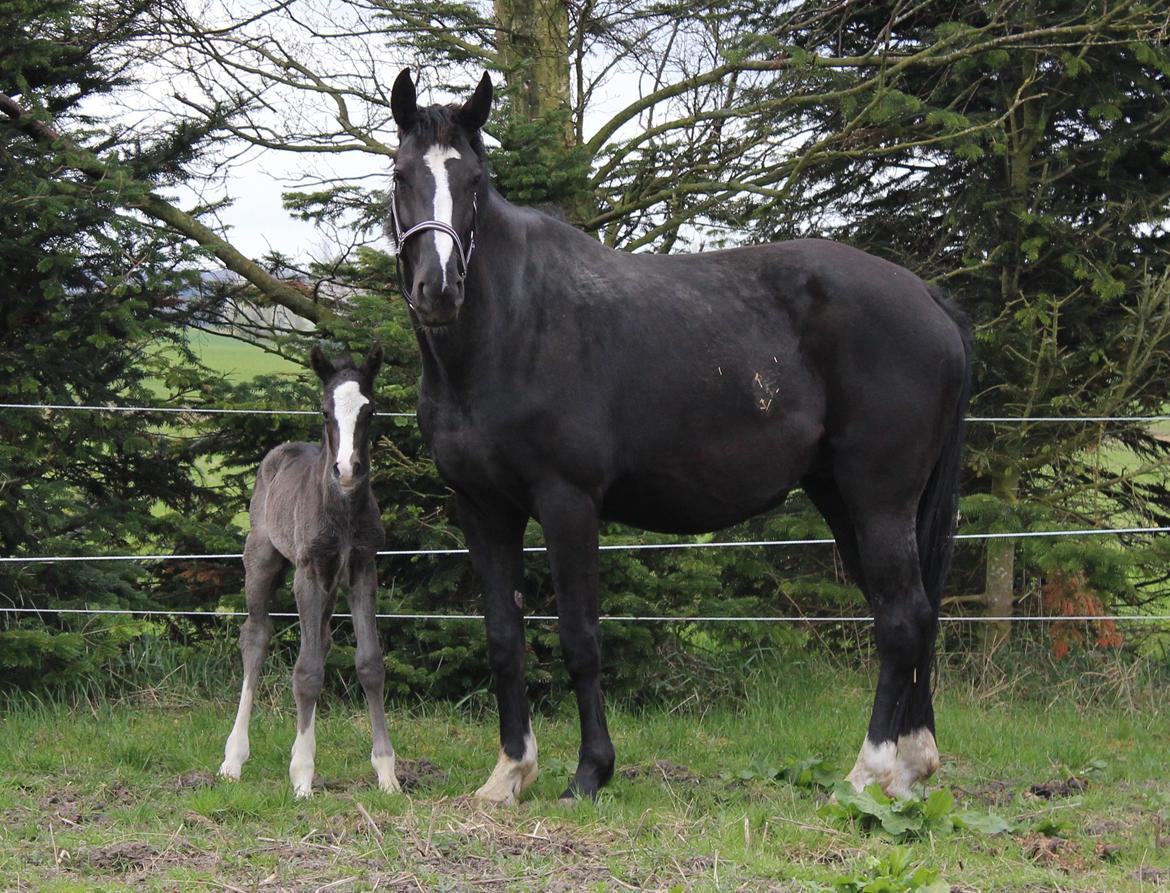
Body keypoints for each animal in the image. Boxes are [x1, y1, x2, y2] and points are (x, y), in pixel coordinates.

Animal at [214, 346, 388, 800]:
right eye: (325, 410)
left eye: (370, 410)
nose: (347, 469)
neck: (342, 510)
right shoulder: (307, 574)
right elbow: (306, 672)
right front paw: (303, 776)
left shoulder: (362, 570)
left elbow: (370, 663)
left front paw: (388, 773)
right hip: (263, 558)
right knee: (256, 636)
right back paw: (233, 759)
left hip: (329, 584)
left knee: (321, 640)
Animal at [388, 69, 973, 805]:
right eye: (401, 174)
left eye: (473, 181)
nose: (437, 289)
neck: (512, 325)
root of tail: (930, 300)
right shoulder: (482, 508)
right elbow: (502, 639)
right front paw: (508, 775)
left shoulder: (567, 501)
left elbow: (580, 638)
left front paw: (589, 773)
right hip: (844, 497)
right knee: (908, 615)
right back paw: (912, 765)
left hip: (879, 497)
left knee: (900, 620)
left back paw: (868, 771)